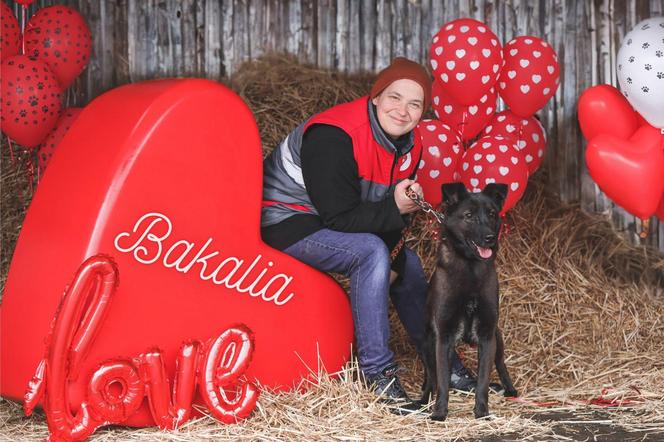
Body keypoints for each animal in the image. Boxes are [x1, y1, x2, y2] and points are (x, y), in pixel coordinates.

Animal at [420, 183, 520, 422]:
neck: (470, 268)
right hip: (427, 343)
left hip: (498, 339)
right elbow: (442, 381)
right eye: (468, 216)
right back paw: (423, 401)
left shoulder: (487, 335)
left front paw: (482, 413)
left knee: (501, 364)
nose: (490, 238)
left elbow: (482, 382)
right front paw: (439, 412)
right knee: (431, 377)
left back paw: (510, 389)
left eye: (492, 214)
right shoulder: (443, 337)